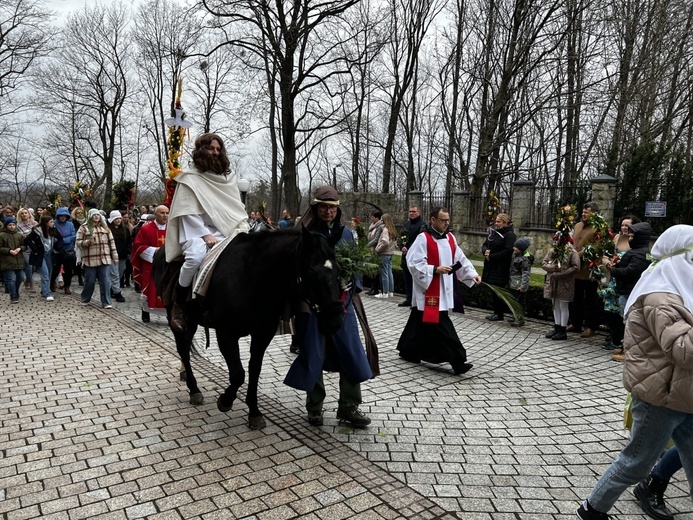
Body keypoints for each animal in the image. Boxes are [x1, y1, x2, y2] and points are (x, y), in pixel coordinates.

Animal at [153, 230, 344, 428]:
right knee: (183, 348)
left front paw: (254, 411)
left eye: (339, 271)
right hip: (176, 316)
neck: (251, 277)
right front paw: (225, 401)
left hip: (192, 319)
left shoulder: (262, 335)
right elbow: (238, 374)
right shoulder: (226, 334)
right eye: (311, 272)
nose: (335, 320)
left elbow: (254, 370)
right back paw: (194, 389)